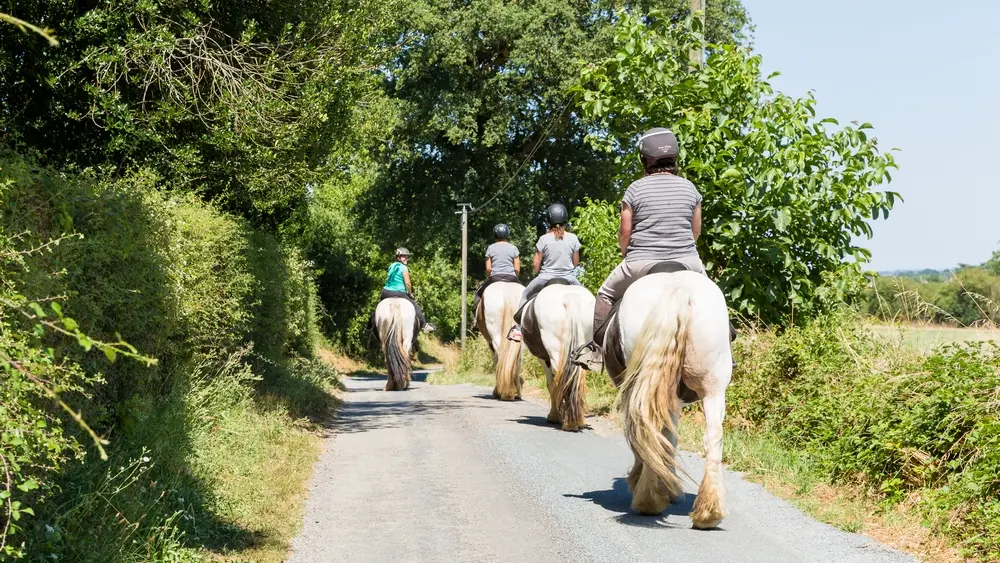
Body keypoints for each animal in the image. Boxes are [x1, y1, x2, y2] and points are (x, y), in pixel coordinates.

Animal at [516, 282, 592, 432]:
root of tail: (570, 297)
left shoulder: (544, 359)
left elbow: (552, 384)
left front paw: (554, 415)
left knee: (563, 379)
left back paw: (569, 422)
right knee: (576, 378)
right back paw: (576, 420)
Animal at [600, 270, 736, 532]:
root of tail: (678, 287)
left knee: (647, 429)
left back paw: (648, 500)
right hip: (713, 387)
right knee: (713, 437)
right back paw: (708, 513)